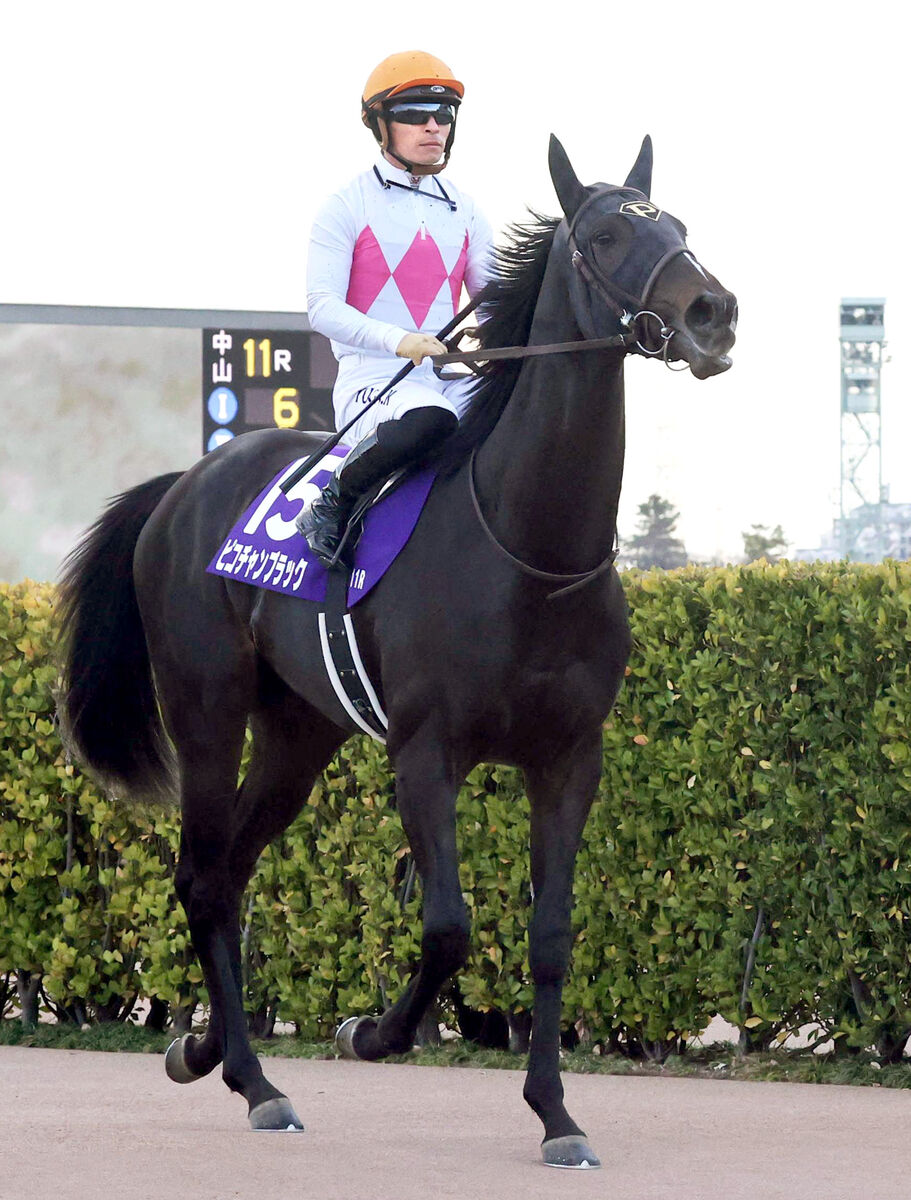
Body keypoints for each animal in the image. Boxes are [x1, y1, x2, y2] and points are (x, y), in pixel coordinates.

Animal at [58, 135, 736, 1169]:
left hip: (299, 737)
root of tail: (185, 482)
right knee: (201, 877)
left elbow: (549, 936)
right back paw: (255, 1083)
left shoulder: (568, 758)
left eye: (680, 227)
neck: (530, 549)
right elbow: (449, 928)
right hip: (207, 710)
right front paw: (370, 1031)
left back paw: (206, 1050)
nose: (712, 313)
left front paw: (556, 1115)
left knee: (230, 873)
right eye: (607, 235)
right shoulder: (425, 755)